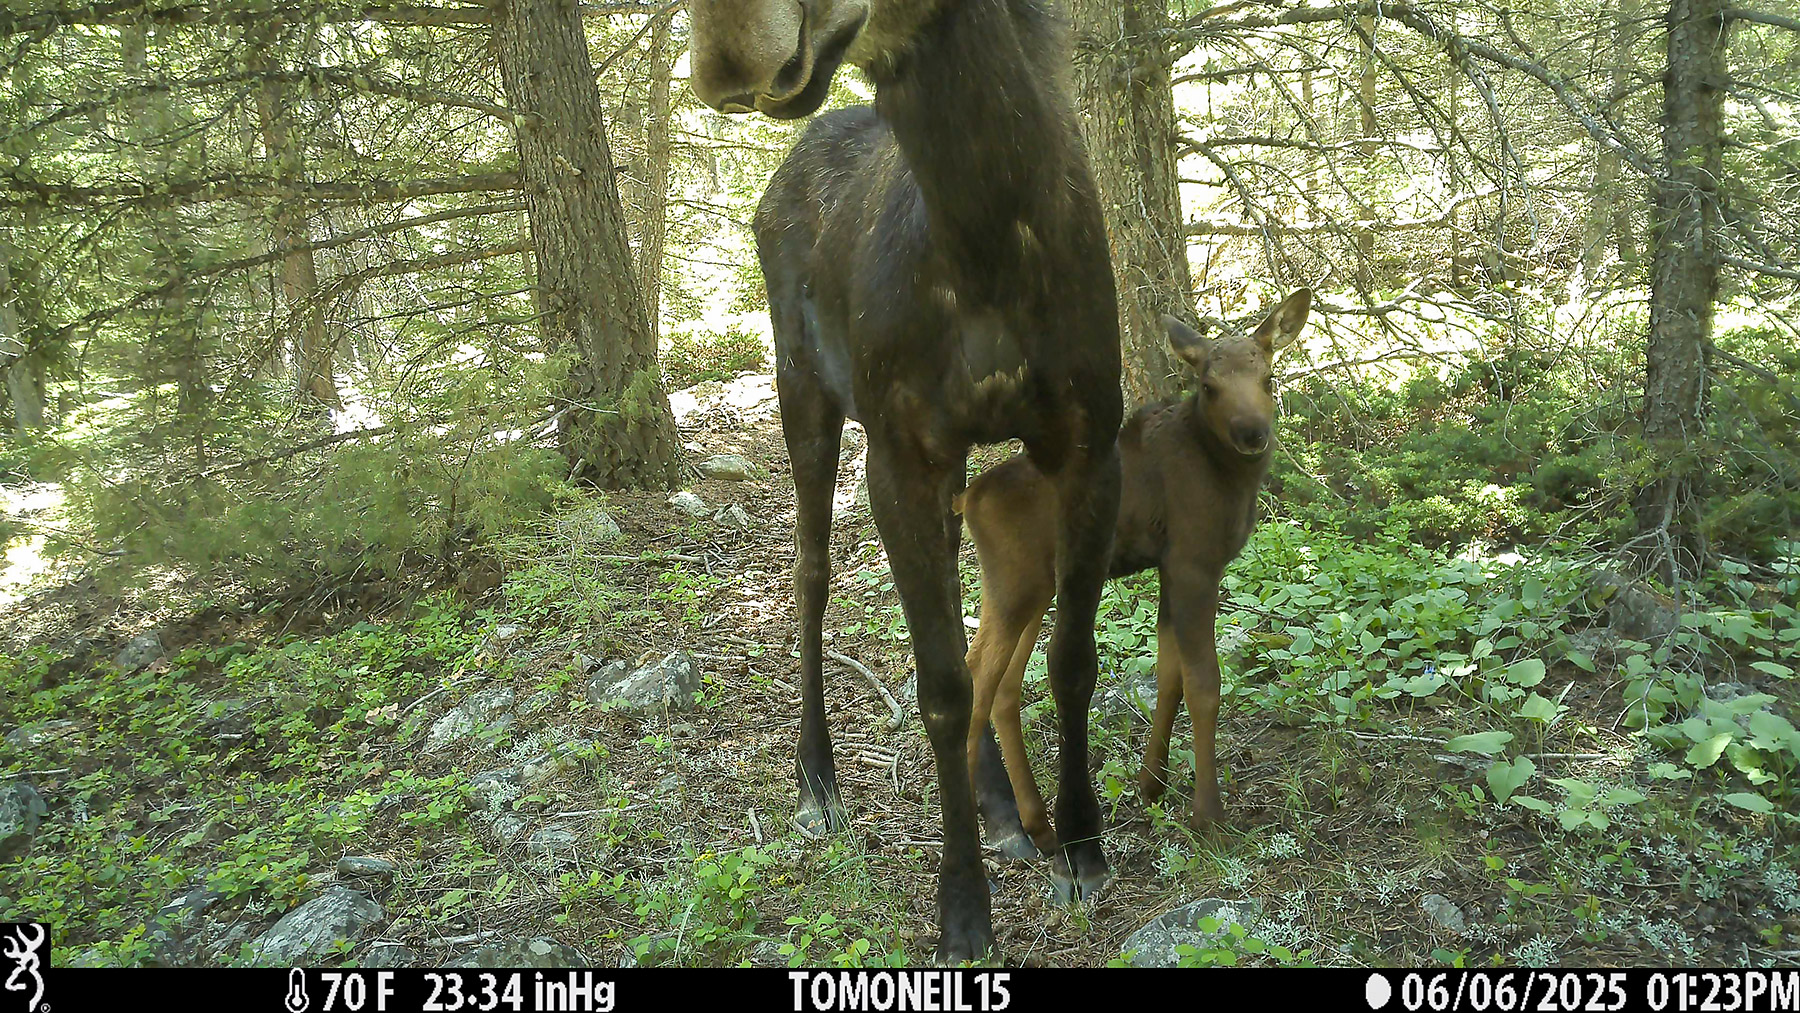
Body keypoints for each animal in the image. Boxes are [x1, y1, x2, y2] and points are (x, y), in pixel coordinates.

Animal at [688, 0, 1123, 960]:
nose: (729, 46)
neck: (990, 238)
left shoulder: (1087, 440)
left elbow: (1070, 659)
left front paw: (1081, 843)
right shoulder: (899, 455)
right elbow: (939, 689)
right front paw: (962, 908)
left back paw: (998, 804)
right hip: (803, 392)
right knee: (810, 572)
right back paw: (815, 777)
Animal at [958, 291, 1311, 849]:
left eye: (1269, 378)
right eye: (1208, 385)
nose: (1252, 434)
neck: (1229, 479)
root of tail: (966, 500)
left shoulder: (1167, 567)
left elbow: (1169, 677)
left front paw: (1151, 784)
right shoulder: (1193, 561)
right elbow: (1204, 684)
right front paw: (1208, 814)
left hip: (1034, 587)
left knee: (1004, 688)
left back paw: (1040, 825)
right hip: (1014, 584)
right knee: (975, 680)